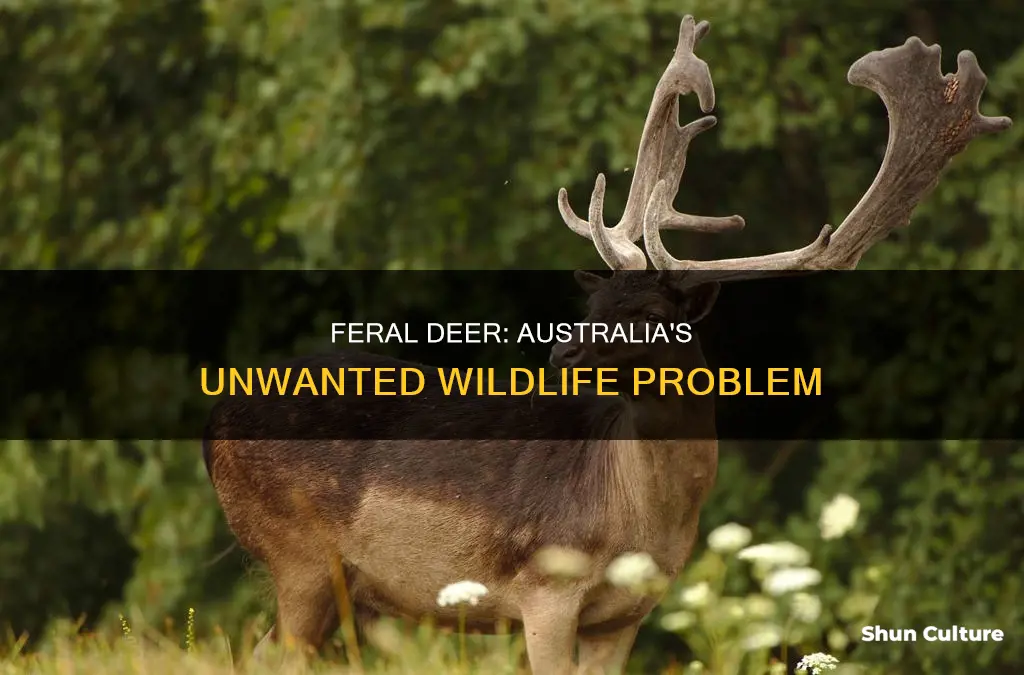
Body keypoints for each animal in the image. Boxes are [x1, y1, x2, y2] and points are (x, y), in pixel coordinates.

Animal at [202, 14, 1010, 675]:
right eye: (592, 301)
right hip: (298, 555)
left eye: (649, 309)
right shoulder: (543, 588)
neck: (639, 522)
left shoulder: (625, 618)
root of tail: (214, 420)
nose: (562, 354)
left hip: (353, 594)